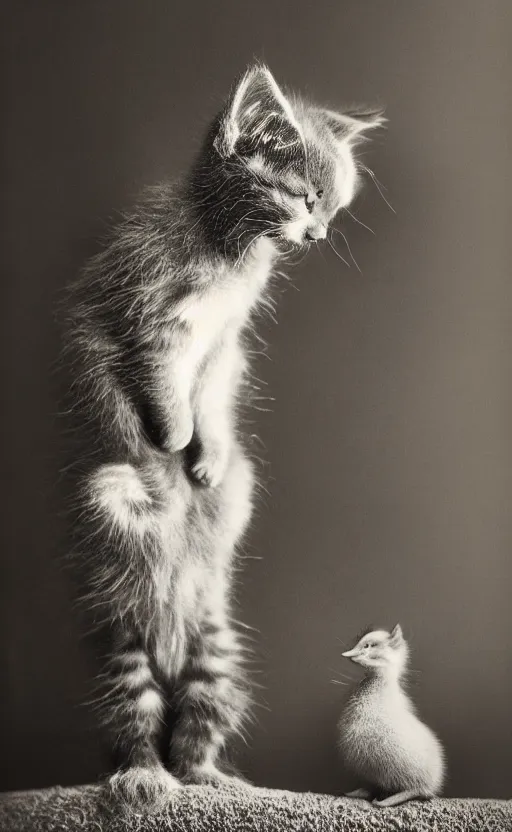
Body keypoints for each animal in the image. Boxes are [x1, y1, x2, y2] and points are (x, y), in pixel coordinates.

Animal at [64, 66, 384, 812]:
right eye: (305, 197)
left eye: (335, 209)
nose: (319, 233)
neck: (229, 248)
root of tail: (169, 634)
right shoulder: (151, 318)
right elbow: (164, 385)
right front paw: (174, 437)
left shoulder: (222, 344)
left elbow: (211, 396)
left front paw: (205, 454)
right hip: (120, 605)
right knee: (136, 727)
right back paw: (144, 778)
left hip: (219, 653)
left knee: (196, 735)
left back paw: (217, 782)